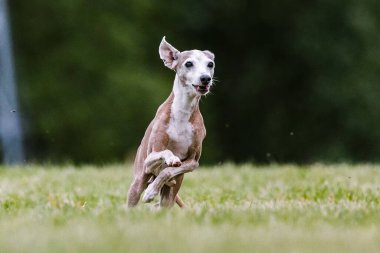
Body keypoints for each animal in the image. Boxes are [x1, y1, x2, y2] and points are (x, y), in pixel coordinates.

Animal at [127, 37, 214, 208]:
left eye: (210, 64)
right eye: (188, 63)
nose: (206, 78)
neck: (182, 113)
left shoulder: (193, 162)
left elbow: (167, 171)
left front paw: (151, 191)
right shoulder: (149, 159)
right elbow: (166, 152)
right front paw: (171, 158)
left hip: (170, 194)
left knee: (163, 202)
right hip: (138, 181)